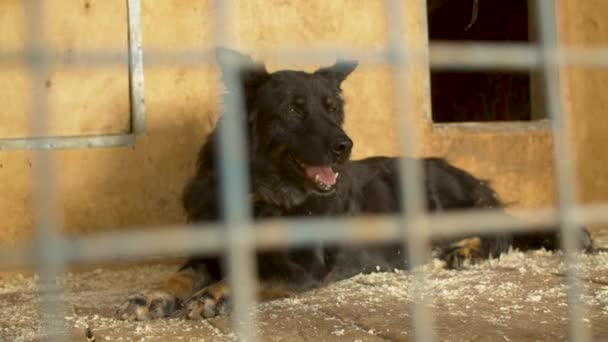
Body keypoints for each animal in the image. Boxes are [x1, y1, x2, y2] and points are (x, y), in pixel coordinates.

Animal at [115, 49, 592, 322]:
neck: (262, 193)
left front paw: (215, 294)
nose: (345, 146)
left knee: (502, 233)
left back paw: (467, 251)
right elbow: (180, 276)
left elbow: (245, 276)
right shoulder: (207, 252)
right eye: (294, 110)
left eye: (331, 108)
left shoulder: (301, 268)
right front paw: (154, 295)